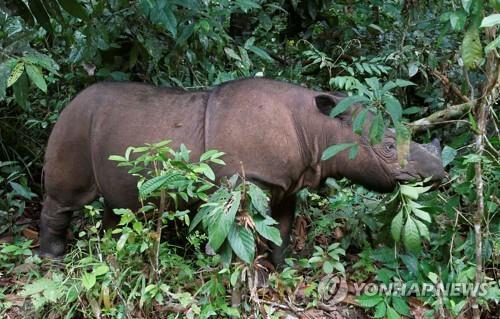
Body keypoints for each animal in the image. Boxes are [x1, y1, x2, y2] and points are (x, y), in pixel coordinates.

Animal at [40, 78, 446, 264]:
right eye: (389, 147)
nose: (439, 173)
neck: (318, 129)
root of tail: (71, 101)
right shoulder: (249, 181)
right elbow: (238, 234)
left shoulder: (286, 182)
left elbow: (281, 229)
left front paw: (280, 270)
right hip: (74, 123)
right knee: (63, 198)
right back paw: (53, 259)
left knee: (119, 206)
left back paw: (112, 255)